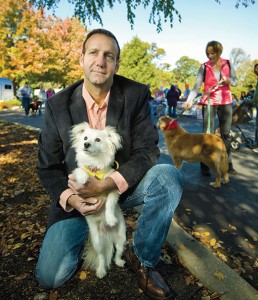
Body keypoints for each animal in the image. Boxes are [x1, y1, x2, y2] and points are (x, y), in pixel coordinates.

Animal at [70, 122, 127, 278]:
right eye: (85, 138)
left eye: (97, 140)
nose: (86, 144)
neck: (94, 165)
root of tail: (108, 235)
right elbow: (79, 171)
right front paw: (83, 177)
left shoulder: (113, 188)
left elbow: (109, 203)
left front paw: (110, 218)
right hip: (97, 242)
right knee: (101, 256)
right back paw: (101, 270)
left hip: (122, 237)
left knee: (117, 253)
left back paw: (119, 262)